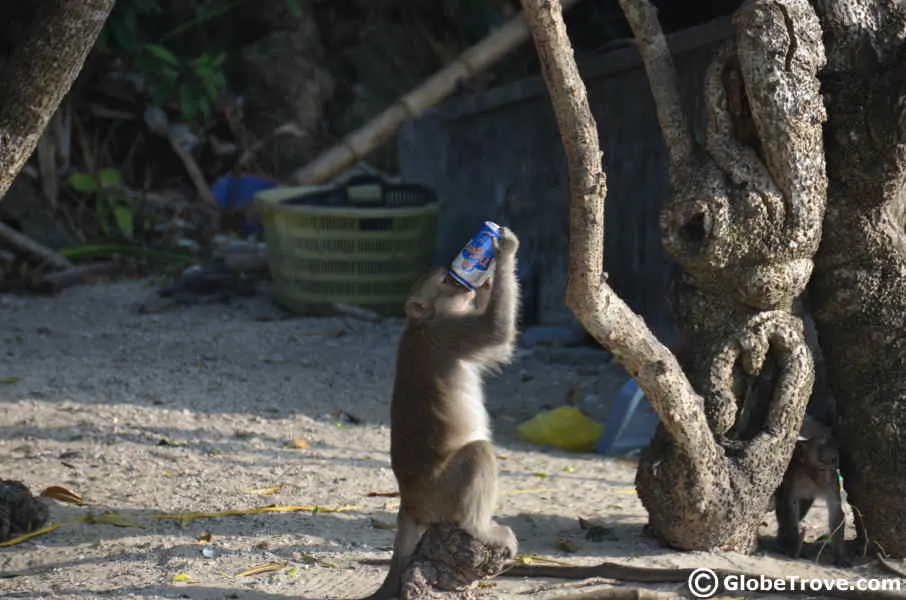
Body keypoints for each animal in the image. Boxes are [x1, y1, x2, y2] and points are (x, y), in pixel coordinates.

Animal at [362, 227, 524, 596]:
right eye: (448, 282)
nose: (465, 283)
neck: (419, 324)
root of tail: (409, 502)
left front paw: (489, 280)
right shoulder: (450, 333)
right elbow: (496, 332)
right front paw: (504, 251)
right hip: (443, 492)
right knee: (478, 453)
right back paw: (481, 528)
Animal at [768, 414, 848, 564]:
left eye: (833, 463)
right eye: (821, 467)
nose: (825, 478)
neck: (812, 477)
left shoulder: (832, 482)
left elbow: (836, 511)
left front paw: (840, 556)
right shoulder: (796, 477)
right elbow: (790, 503)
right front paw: (793, 545)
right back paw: (786, 541)